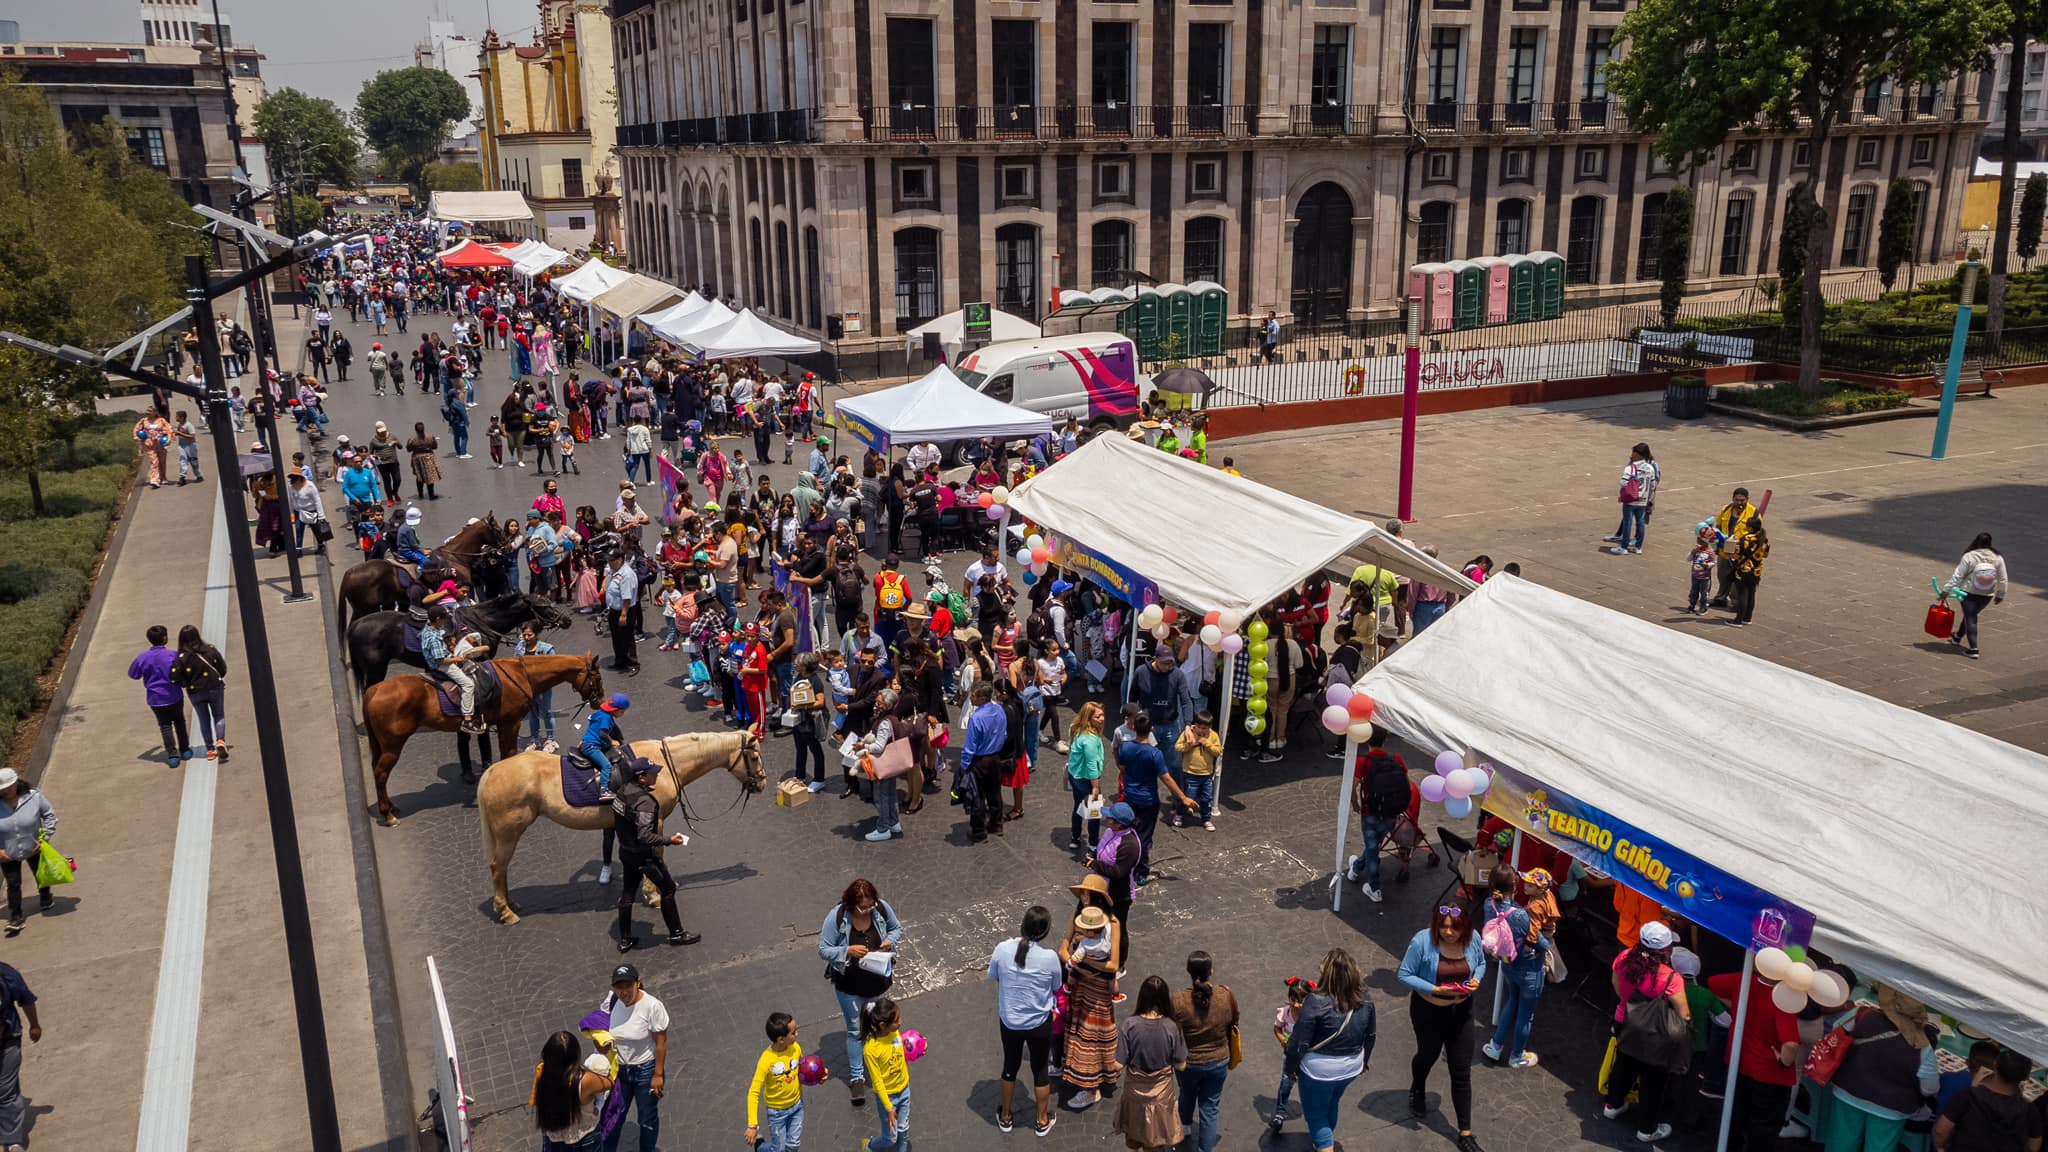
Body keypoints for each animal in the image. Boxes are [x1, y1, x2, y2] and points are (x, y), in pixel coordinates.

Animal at [360, 651, 602, 819]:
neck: (520, 675)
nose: (599, 701)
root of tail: (373, 690)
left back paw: (390, 806)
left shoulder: (504, 724)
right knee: (380, 773)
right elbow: (509, 753)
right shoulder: (511, 723)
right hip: (393, 745)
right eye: (597, 678)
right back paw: (387, 814)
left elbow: (505, 754)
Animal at [477, 725, 770, 922]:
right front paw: (654, 894)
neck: (664, 764)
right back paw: (505, 911)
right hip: (509, 833)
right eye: (754, 756)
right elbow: (656, 852)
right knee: (497, 867)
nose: (763, 784)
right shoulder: (655, 820)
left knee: (500, 869)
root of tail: (491, 771)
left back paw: (510, 903)